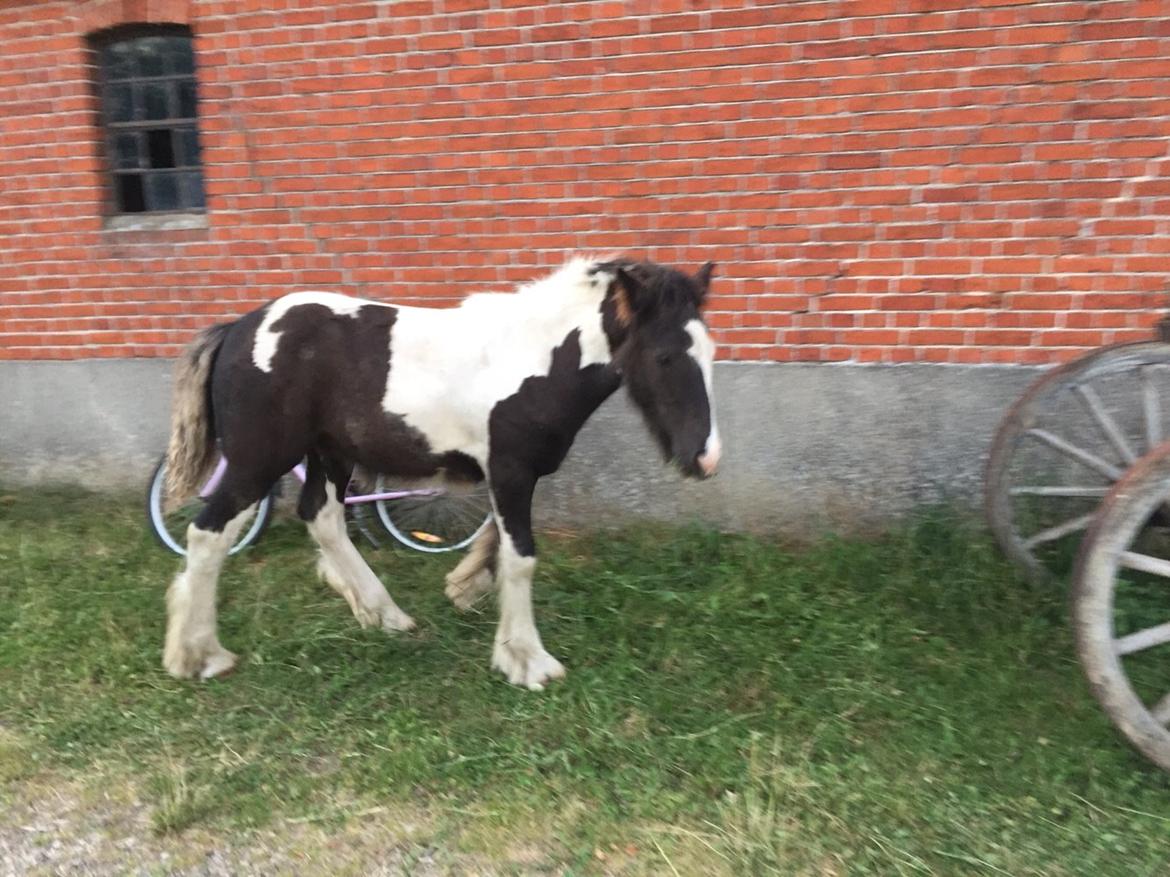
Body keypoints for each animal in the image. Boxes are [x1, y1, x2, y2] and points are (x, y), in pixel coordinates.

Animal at [160, 257, 716, 692]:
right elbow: (521, 557)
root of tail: (237, 328)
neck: (533, 359)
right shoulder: (511, 471)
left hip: (330, 454)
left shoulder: (509, 474)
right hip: (258, 459)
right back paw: (198, 655)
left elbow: (498, 543)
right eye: (664, 356)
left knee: (323, 517)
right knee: (208, 532)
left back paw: (384, 615)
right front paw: (527, 660)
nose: (705, 458)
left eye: (710, 351)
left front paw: (466, 589)